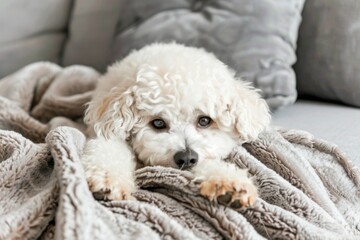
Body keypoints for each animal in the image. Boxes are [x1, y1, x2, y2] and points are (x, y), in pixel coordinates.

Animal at [81, 43, 270, 208]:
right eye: (158, 123)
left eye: (204, 120)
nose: (186, 158)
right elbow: (109, 150)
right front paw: (107, 180)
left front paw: (228, 182)